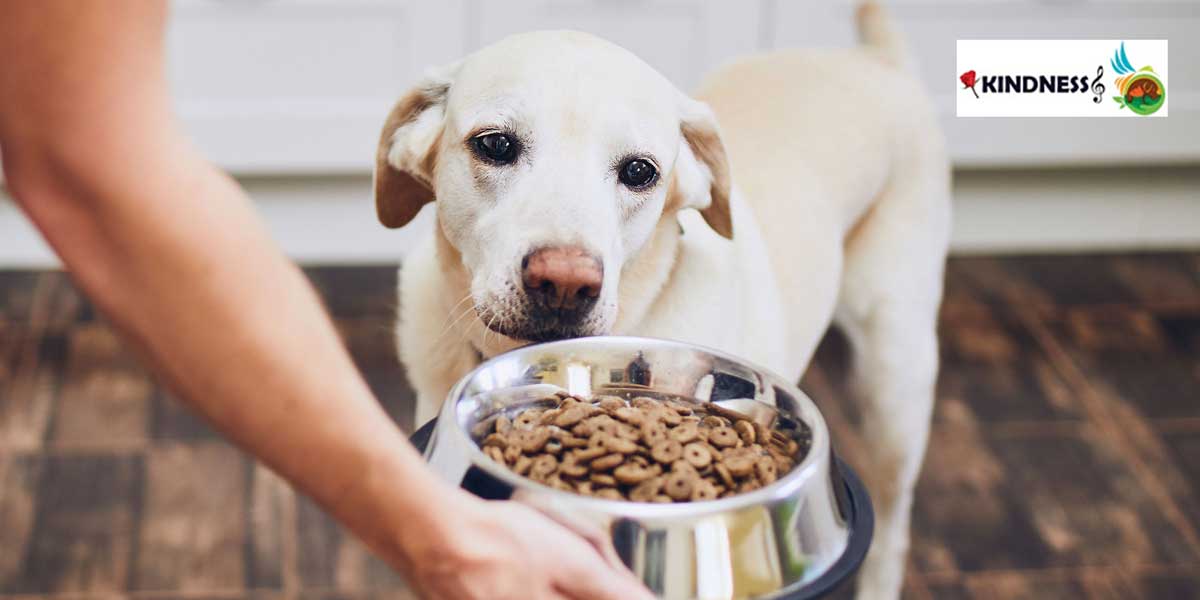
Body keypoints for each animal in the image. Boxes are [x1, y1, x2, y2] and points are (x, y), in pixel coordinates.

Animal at [372, 2, 945, 597]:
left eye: (639, 171)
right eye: (495, 145)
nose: (565, 283)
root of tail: (877, 60)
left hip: (896, 383)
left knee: (894, 524)